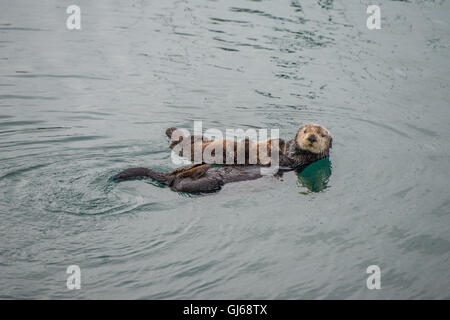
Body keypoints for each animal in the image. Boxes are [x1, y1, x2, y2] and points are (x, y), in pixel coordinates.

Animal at [112, 124, 330, 194]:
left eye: (321, 134)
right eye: (306, 130)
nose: (312, 137)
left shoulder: (297, 162)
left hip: (207, 184)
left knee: (181, 182)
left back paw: (198, 168)